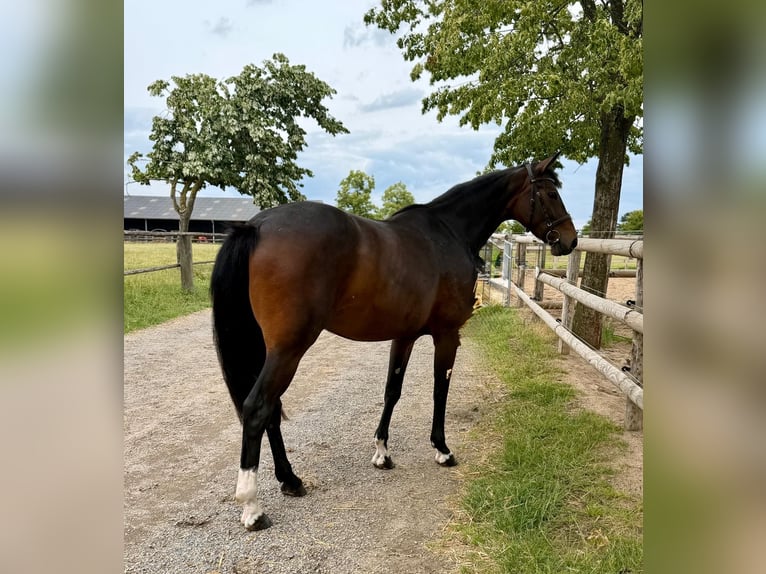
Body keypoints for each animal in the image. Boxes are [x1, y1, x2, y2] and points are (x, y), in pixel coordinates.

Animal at [210, 153, 578, 530]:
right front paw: (442, 450)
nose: (570, 239)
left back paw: (290, 480)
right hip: (288, 350)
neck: (448, 232)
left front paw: (382, 453)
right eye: (551, 192)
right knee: (258, 408)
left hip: (270, 349)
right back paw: (252, 507)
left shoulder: (404, 336)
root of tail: (257, 226)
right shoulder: (447, 334)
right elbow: (440, 390)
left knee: (271, 410)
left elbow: (392, 390)